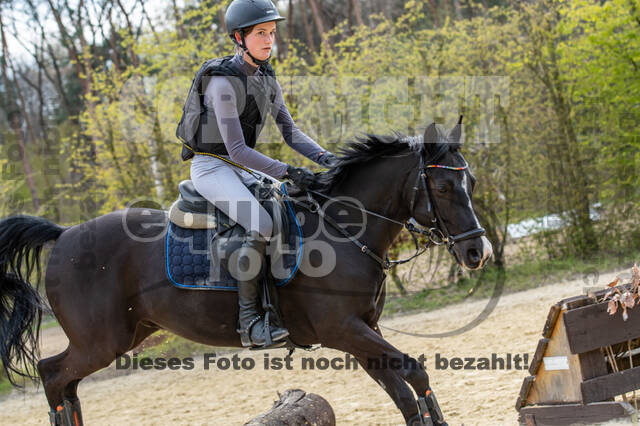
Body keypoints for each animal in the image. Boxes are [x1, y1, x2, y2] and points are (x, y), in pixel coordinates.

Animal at [0, 120, 492, 426]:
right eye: (442, 185)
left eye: (470, 183)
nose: (478, 251)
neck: (343, 229)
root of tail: (63, 235)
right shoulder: (344, 330)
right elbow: (415, 373)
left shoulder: (363, 332)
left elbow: (405, 392)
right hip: (100, 342)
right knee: (52, 374)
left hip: (128, 334)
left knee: (67, 385)